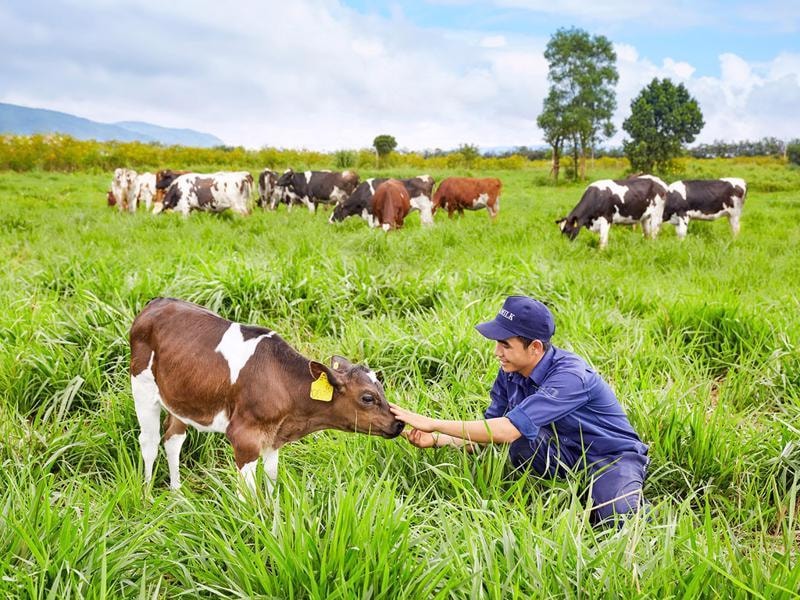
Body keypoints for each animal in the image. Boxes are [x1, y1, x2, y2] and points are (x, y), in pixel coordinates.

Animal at [131, 298, 406, 494]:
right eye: (368, 398)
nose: (399, 423)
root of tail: (157, 302)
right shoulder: (244, 438)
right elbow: (248, 495)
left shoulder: (273, 438)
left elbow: (272, 479)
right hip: (142, 388)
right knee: (149, 442)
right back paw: (147, 495)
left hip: (181, 396)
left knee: (173, 440)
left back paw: (177, 493)